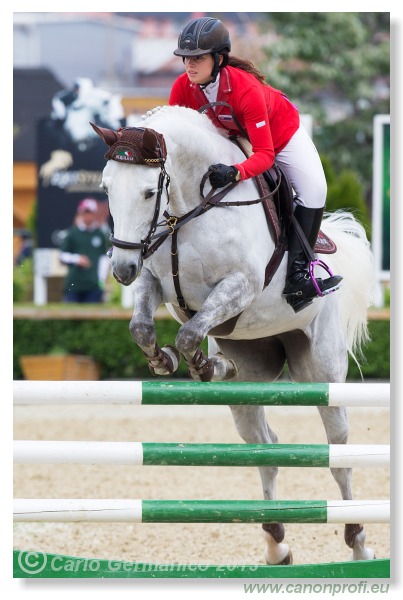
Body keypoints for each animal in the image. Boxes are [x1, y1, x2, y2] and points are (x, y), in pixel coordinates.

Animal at [90, 105, 376, 564]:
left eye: (150, 193)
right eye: (106, 187)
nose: (121, 269)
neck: (189, 208)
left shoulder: (240, 285)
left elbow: (190, 332)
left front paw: (197, 363)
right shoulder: (153, 281)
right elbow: (142, 326)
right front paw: (166, 360)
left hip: (322, 373)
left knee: (339, 453)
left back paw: (359, 542)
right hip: (252, 372)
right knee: (264, 447)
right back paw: (276, 543)